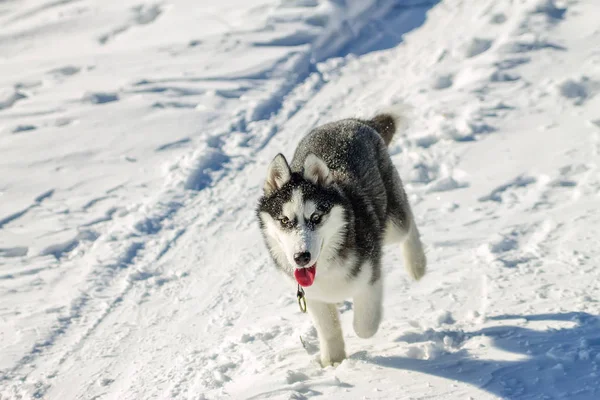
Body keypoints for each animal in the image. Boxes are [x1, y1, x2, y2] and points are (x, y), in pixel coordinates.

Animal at [255, 111, 424, 366]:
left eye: (316, 217)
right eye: (284, 220)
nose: (301, 257)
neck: (326, 266)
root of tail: (353, 121)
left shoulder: (370, 275)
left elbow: (364, 326)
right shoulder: (313, 295)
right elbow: (328, 328)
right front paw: (333, 360)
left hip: (393, 222)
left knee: (408, 222)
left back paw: (416, 264)